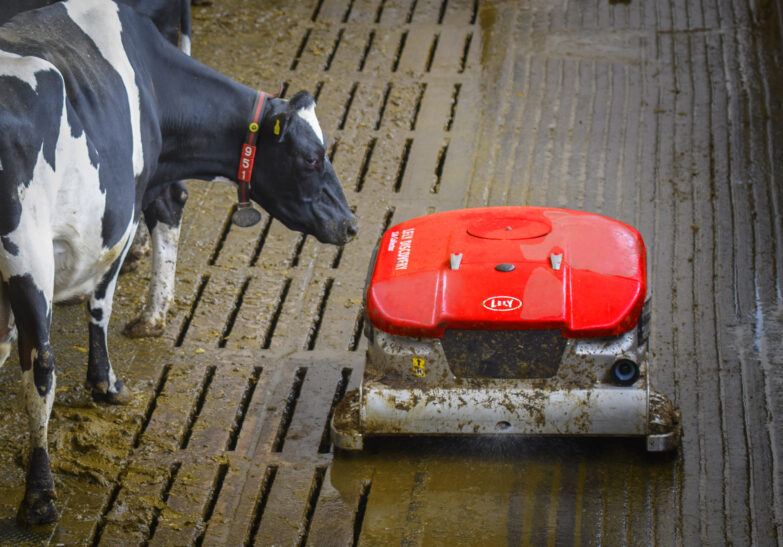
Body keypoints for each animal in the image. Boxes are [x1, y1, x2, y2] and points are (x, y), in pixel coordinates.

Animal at [1, 0, 356, 524]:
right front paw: (108, 380)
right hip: (27, 252)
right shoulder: (123, 210)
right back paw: (40, 496)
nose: (351, 224)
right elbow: (103, 297)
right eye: (313, 158)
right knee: (40, 367)